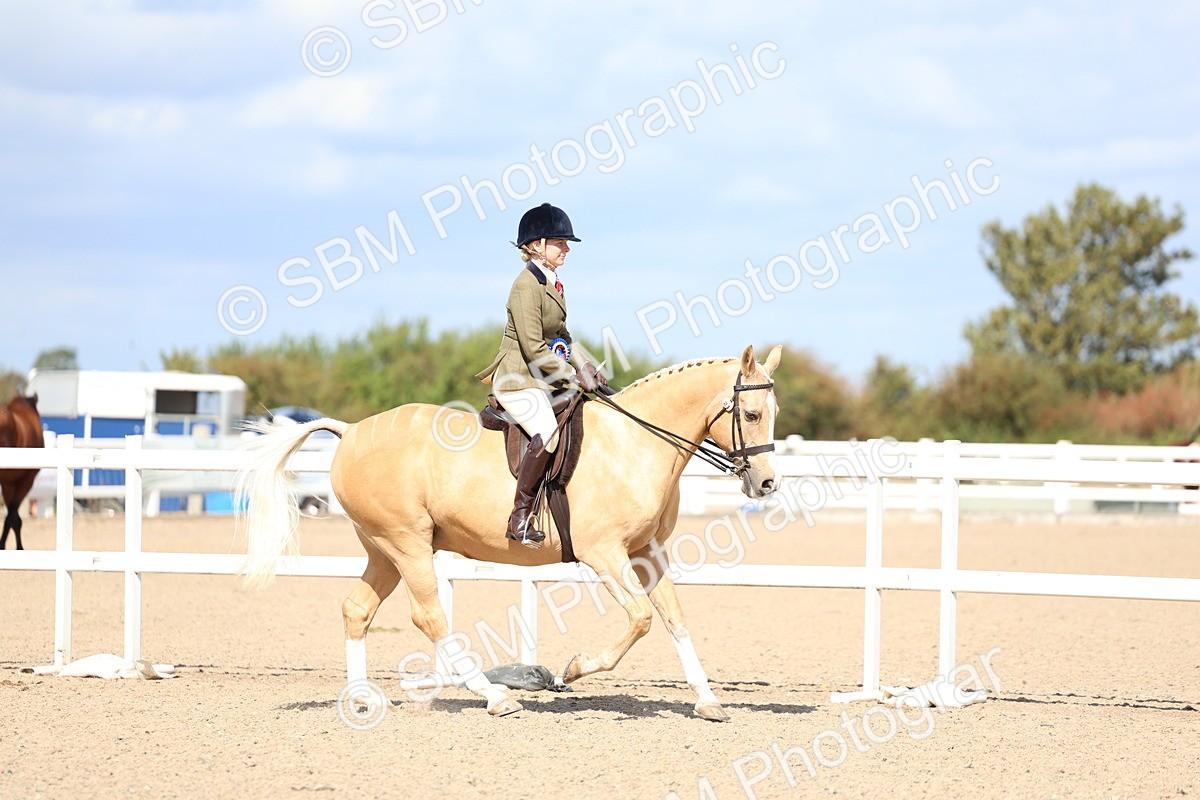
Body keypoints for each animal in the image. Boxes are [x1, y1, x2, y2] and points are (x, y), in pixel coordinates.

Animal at [238, 345, 782, 720]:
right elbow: (642, 618)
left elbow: (675, 619)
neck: (635, 443)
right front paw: (573, 669)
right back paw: (495, 697)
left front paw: (708, 701)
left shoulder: (646, 551)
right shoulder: (604, 552)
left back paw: (361, 700)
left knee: (357, 610)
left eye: (773, 413)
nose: (766, 483)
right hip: (407, 544)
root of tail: (350, 431)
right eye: (751, 414)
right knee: (430, 617)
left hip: (383, 551)